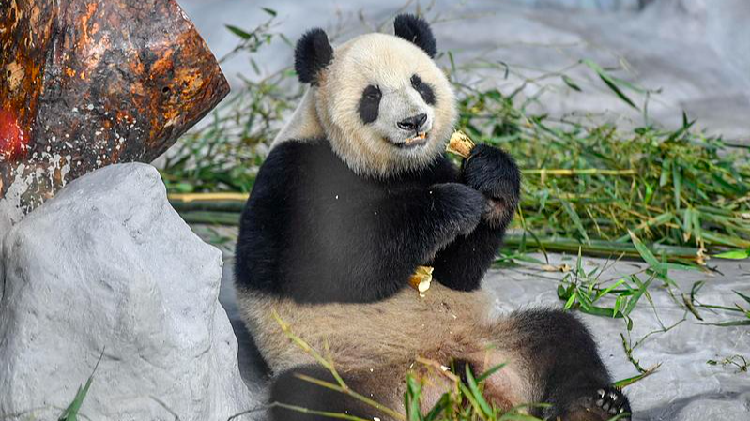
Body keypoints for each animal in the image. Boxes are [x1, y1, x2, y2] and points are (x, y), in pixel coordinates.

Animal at [234, 14, 632, 421]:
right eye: (372, 96)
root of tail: (443, 385)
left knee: (562, 335)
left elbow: (457, 274)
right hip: (345, 367)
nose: (414, 120)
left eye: (419, 84)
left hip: (496, 343)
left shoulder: (429, 167)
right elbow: (322, 261)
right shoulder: (293, 174)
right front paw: (452, 205)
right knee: (312, 398)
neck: (383, 169)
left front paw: (490, 179)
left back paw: (595, 405)